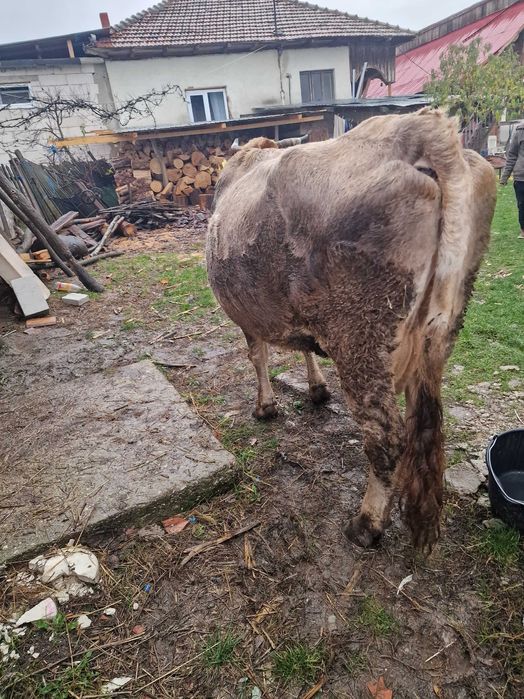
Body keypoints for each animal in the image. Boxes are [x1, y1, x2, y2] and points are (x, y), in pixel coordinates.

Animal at [206, 109, 496, 553]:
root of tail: (417, 127)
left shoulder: (247, 315)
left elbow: (258, 357)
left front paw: (266, 407)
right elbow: (302, 347)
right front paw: (316, 388)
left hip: (362, 339)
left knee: (386, 439)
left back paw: (366, 524)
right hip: (439, 332)